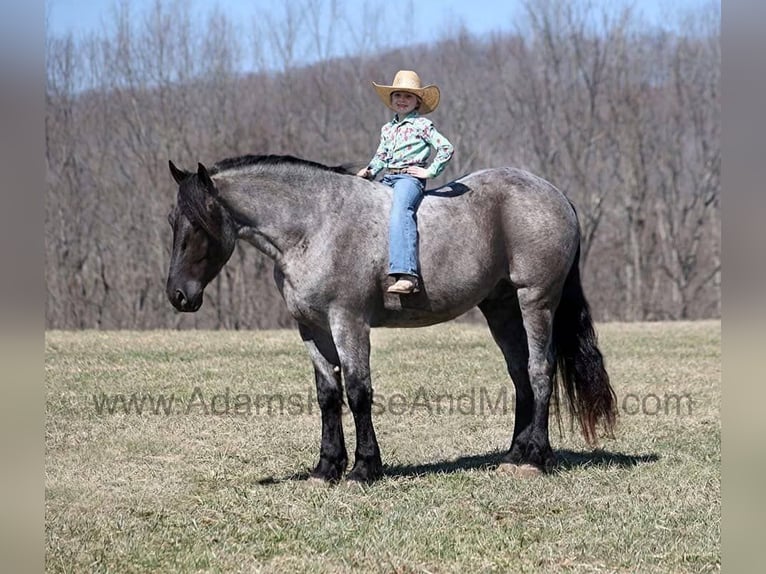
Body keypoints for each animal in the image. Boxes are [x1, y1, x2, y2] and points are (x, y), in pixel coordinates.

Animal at [165, 154, 617, 483]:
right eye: (173, 221)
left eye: (200, 223)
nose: (178, 295)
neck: (315, 225)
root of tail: (555, 194)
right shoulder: (311, 328)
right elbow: (328, 395)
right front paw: (326, 467)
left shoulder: (348, 322)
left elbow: (358, 392)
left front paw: (364, 467)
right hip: (501, 308)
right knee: (521, 375)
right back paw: (514, 454)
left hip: (535, 301)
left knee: (540, 370)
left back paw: (536, 457)